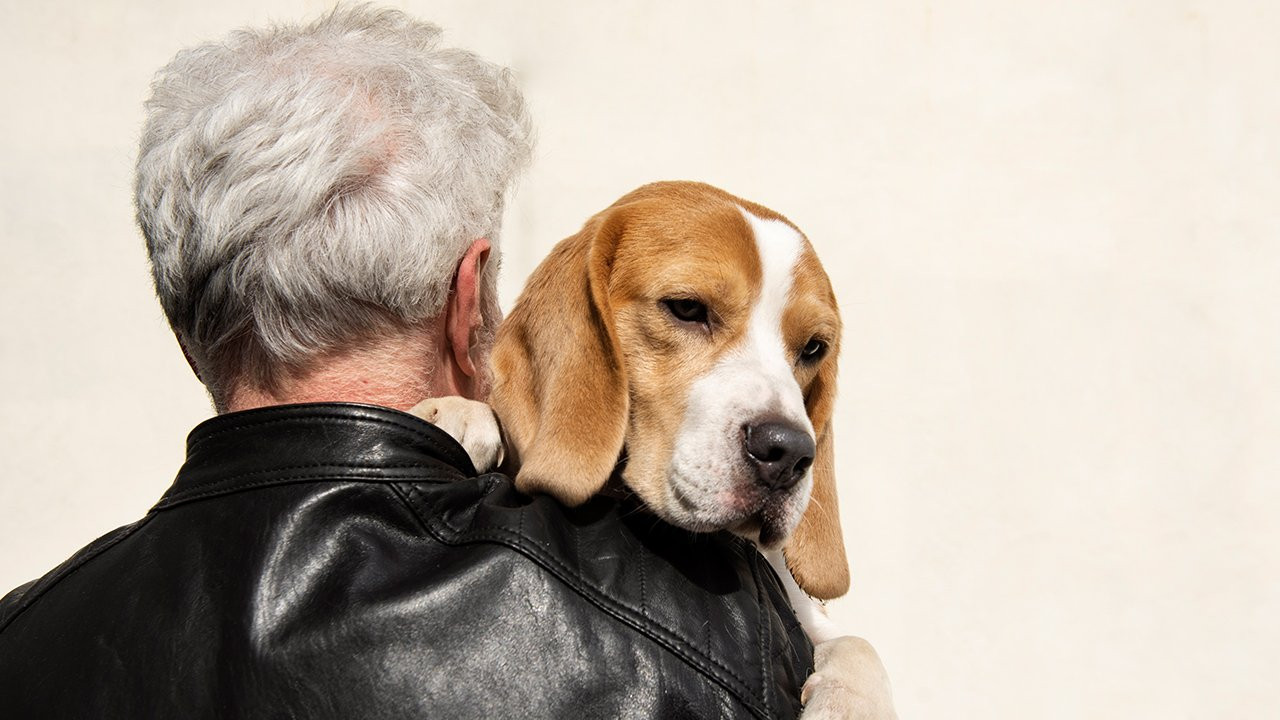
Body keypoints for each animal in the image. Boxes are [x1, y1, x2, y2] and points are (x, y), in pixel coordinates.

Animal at [414, 180, 896, 717]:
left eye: (814, 348)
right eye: (686, 308)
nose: (790, 452)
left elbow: (860, 644)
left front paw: (853, 704)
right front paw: (456, 411)